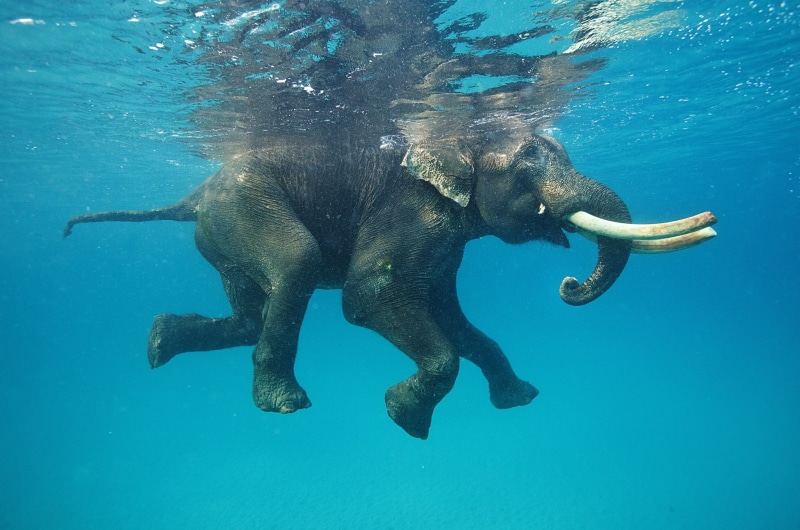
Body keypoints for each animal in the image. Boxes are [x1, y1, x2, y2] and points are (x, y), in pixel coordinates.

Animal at [64, 133, 716, 439]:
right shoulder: (409, 211)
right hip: (243, 208)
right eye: (528, 163)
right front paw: (405, 417)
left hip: (223, 232)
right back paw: (284, 404)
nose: (570, 283)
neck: (456, 141)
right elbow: (369, 298)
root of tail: (193, 195)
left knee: (251, 313)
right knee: (295, 265)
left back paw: (157, 342)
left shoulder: (447, 243)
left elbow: (453, 319)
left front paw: (521, 399)